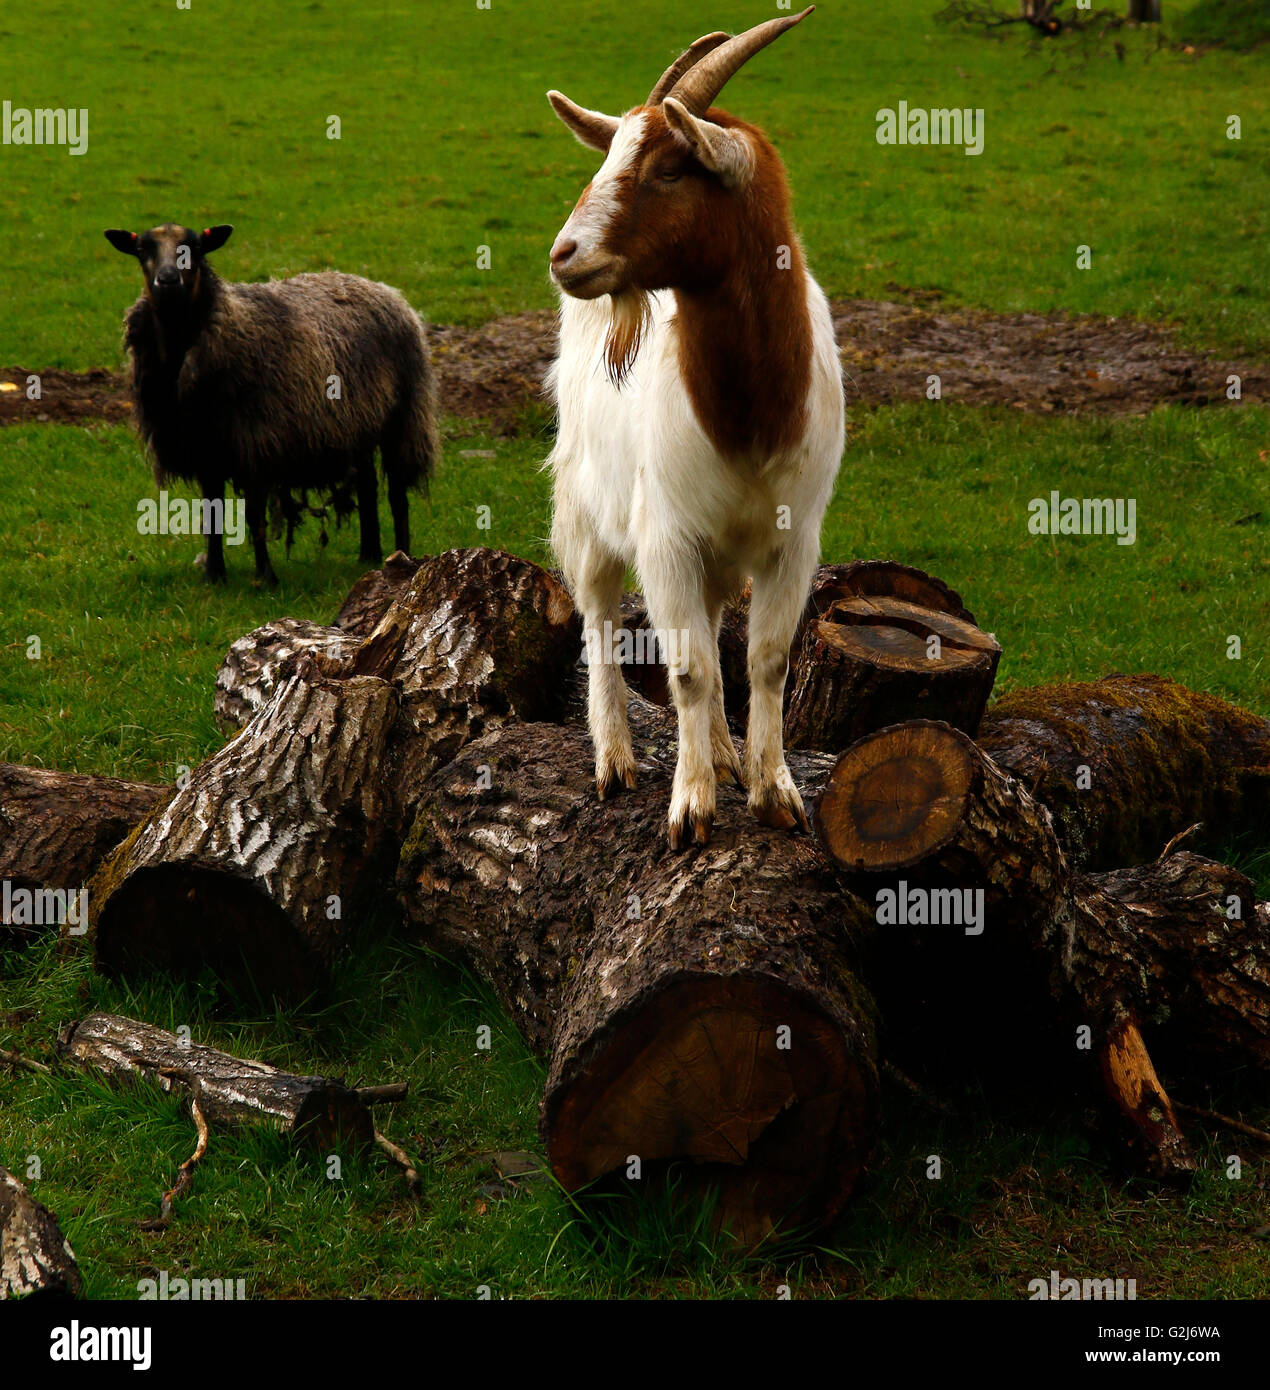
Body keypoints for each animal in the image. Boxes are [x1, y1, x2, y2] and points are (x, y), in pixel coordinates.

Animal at [101, 225, 436, 583]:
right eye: (142, 249)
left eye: (195, 247)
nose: (167, 279)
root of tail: (381, 288)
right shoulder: (205, 448)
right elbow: (212, 514)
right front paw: (215, 575)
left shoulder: (255, 442)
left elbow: (254, 516)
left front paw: (265, 576)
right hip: (357, 423)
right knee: (367, 486)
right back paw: (368, 554)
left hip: (403, 416)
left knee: (397, 495)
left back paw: (402, 555)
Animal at [544, 8, 839, 845]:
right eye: (611, 155)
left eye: (670, 168)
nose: (564, 253)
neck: (750, 411)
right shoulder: (665, 533)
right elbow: (686, 668)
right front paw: (690, 806)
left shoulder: (791, 539)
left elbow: (762, 659)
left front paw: (772, 791)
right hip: (588, 509)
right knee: (599, 617)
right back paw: (614, 759)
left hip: (714, 554)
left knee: (706, 624)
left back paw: (726, 754)